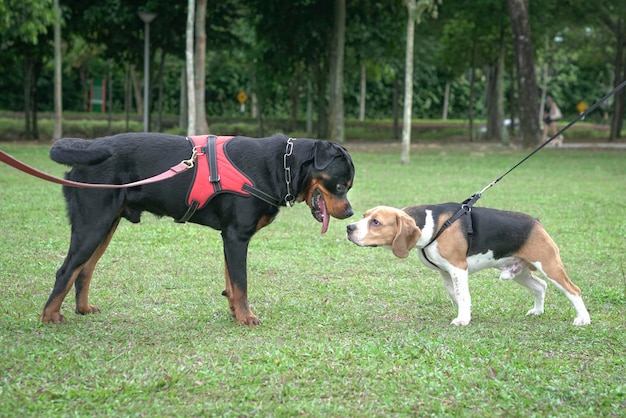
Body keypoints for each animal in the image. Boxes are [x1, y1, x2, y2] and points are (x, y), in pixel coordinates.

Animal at [44, 132, 354, 324]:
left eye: (348, 187)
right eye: (340, 186)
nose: (350, 212)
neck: (281, 165)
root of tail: (87, 148)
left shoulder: (230, 236)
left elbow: (232, 282)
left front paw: (235, 313)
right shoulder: (237, 236)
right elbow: (241, 283)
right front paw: (247, 317)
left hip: (106, 225)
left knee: (84, 269)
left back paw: (82, 308)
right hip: (93, 223)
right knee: (66, 270)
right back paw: (49, 316)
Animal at [346, 204, 588, 328]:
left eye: (376, 222)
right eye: (364, 216)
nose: (349, 228)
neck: (431, 225)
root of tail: (536, 222)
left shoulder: (458, 267)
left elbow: (462, 295)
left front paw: (462, 320)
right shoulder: (446, 273)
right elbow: (456, 295)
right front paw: (467, 315)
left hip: (549, 265)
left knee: (574, 290)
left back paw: (583, 319)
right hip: (519, 271)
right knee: (540, 286)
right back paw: (537, 311)